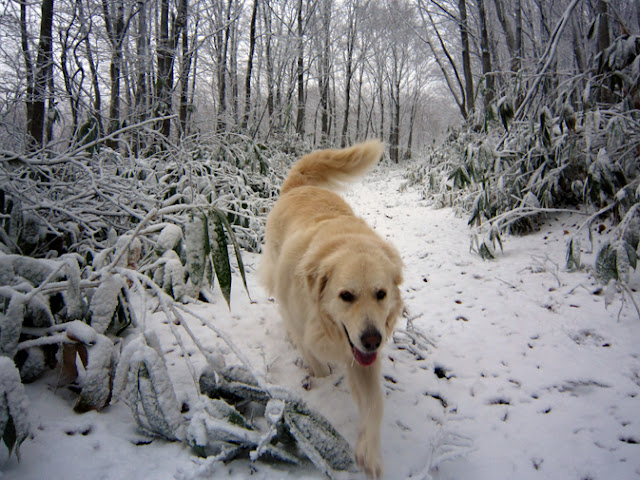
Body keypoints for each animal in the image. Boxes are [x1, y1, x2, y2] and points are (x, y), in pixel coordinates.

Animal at [258, 139, 402, 476]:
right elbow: (317, 364)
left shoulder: (362, 356)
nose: (372, 340)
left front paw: (369, 453)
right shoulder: (308, 330)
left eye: (381, 293)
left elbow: (375, 404)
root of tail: (299, 186)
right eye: (346, 296)